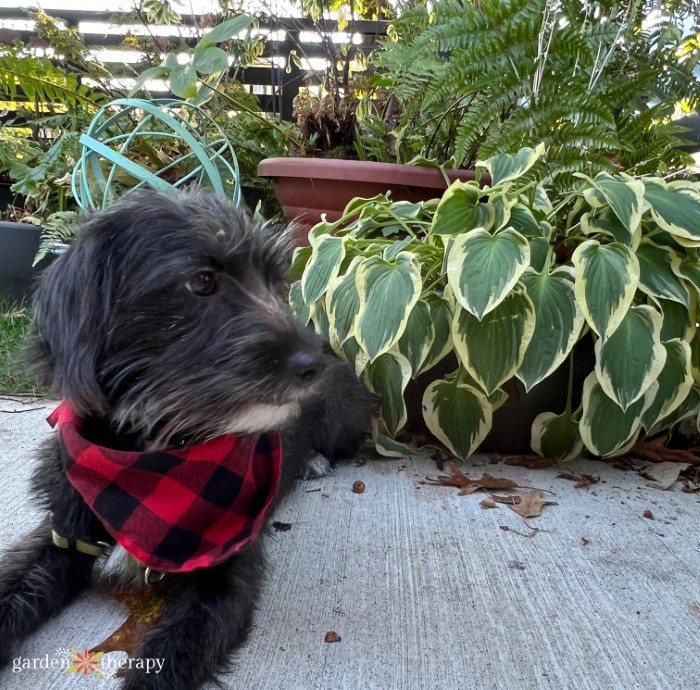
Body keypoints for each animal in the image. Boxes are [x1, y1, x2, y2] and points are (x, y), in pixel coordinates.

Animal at [0, 185, 378, 684]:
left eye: (275, 281)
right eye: (201, 281)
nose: (313, 364)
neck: (149, 459)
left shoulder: (225, 575)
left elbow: (167, 664)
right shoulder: (63, 533)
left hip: (344, 419)